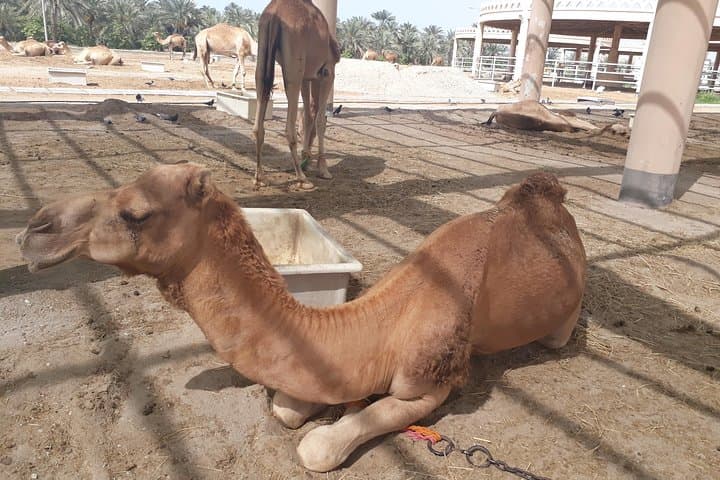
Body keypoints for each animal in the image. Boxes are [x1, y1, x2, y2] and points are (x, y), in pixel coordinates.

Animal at [18, 163, 587, 473]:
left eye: (134, 212)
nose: (34, 228)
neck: (376, 329)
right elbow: (287, 408)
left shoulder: (429, 384)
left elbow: (320, 444)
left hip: (562, 321)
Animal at [253, 0, 341, 189]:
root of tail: (275, 12)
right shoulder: (327, 72)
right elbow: (320, 120)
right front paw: (323, 169)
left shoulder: (309, 76)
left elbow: (308, 116)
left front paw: (306, 157)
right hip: (295, 64)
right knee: (289, 126)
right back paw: (302, 178)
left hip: (263, 54)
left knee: (258, 123)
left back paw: (260, 177)